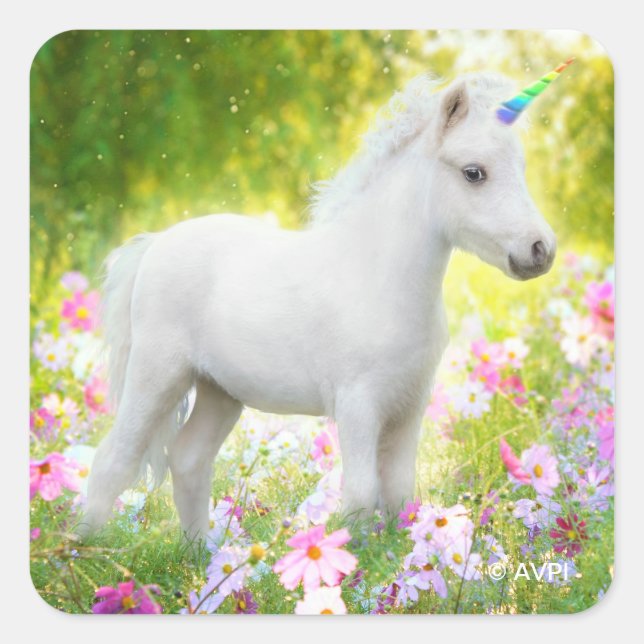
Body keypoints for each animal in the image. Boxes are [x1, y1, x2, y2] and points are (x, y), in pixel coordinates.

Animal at [80, 71, 557, 540]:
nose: (540, 250)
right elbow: (361, 494)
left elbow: (400, 493)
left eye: (521, 168)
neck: (378, 279)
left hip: (220, 392)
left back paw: (202, 558)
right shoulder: (358, 404)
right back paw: (85, 551)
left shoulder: (409, 406)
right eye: (474, 173)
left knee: (189, 459)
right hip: (157, 376)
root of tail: (154, 244)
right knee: (112, 462)